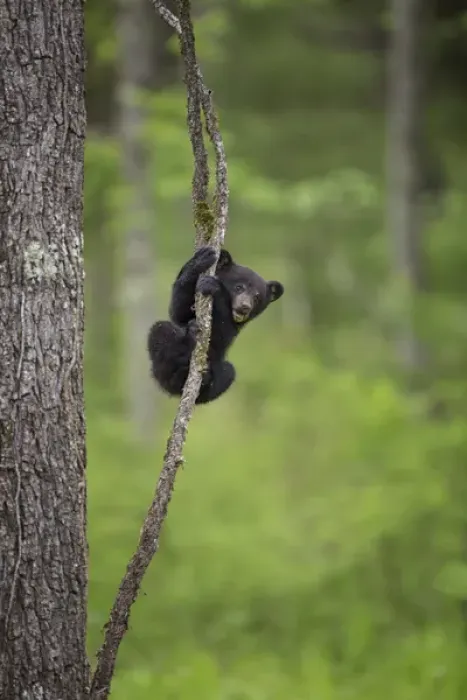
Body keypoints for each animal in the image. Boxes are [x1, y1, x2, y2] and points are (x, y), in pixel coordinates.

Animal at [147, 245, 284, 404]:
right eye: (239, 287)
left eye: (257, 297)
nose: (245, 307)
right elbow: (179, 311)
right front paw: (201, 260)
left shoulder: (232, 328)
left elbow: (221, 335)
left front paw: (215, 286)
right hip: (161, 370)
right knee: (161, 329)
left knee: (228, 372)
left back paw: (200, 377)